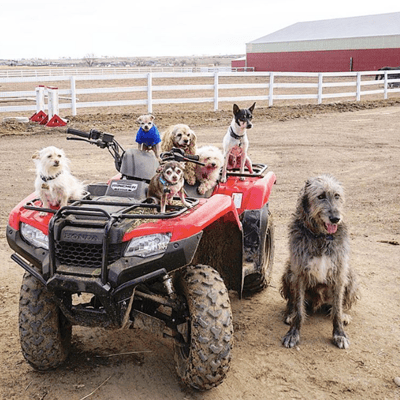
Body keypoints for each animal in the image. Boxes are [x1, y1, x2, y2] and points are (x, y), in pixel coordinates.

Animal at [282, 173, 360, 348]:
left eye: (337, 196)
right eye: (320, 196)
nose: (335, 218)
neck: (321, 236)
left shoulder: (339, 274)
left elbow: (336, 311)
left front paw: (339, 334)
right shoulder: (299, 273)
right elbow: (299, 309)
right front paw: (293, 333)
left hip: (351, 277)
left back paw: (345, 315)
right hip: (288, 272)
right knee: (294, 302)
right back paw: (290, 313)